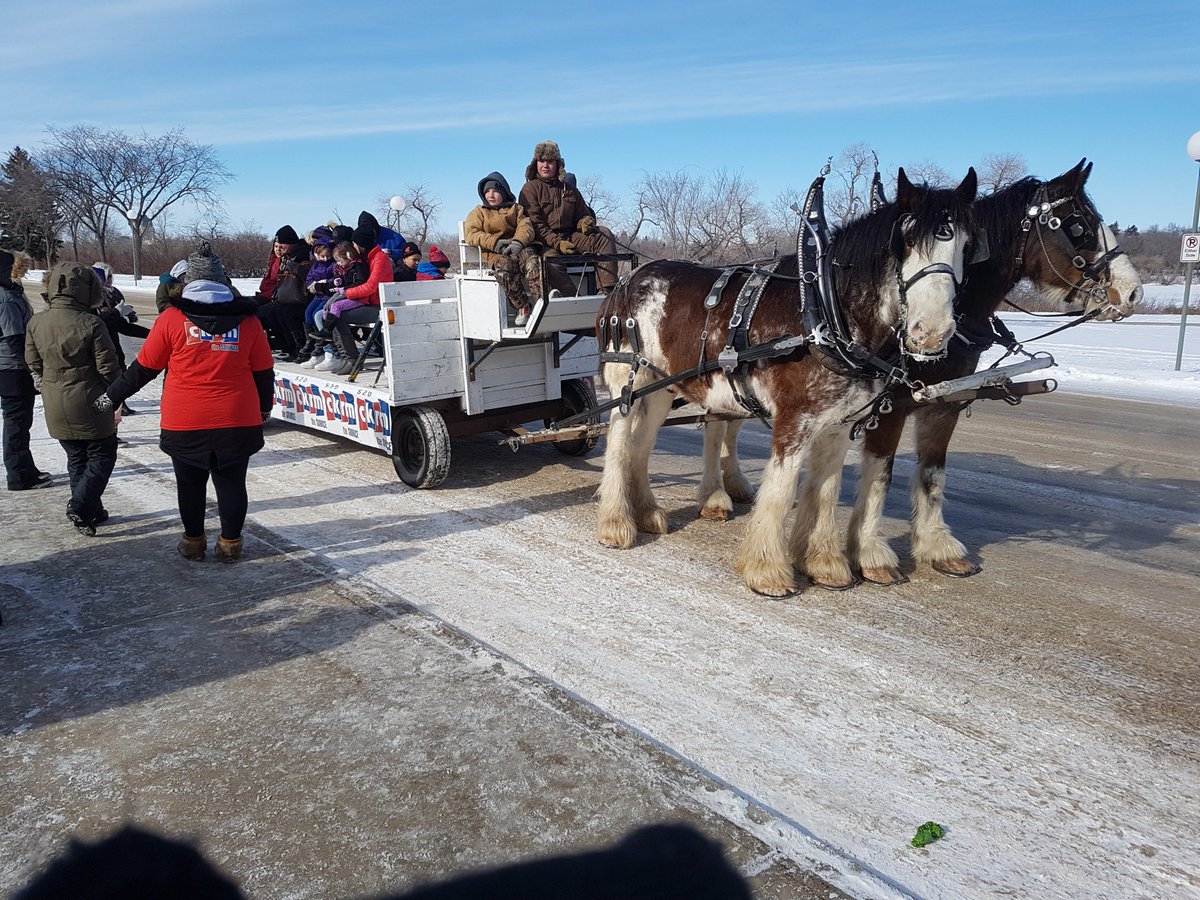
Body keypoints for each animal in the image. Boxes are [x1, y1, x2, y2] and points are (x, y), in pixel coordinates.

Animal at [595, 168, 979, 597]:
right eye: (907, 241)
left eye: (967, 245)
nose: (932, 332)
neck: (826, 310)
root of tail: (627, 280)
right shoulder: (794, 419)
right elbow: (780, 490)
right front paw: (767, 570)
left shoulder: (840, 423)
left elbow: (826, 489)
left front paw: (825, 562)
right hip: (628, 382)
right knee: (620, 443)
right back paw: (615, 523)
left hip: (661, 390)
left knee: (641, 447)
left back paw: (646, 513)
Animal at [777, 159, 1142, 587]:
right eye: (1079, 226)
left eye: (967, 249)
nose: (1133, 292)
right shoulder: (890, 408)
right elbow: (880, 476)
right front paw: (870, 553)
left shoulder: (945, 404)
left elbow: (933, 473)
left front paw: (938, 546)